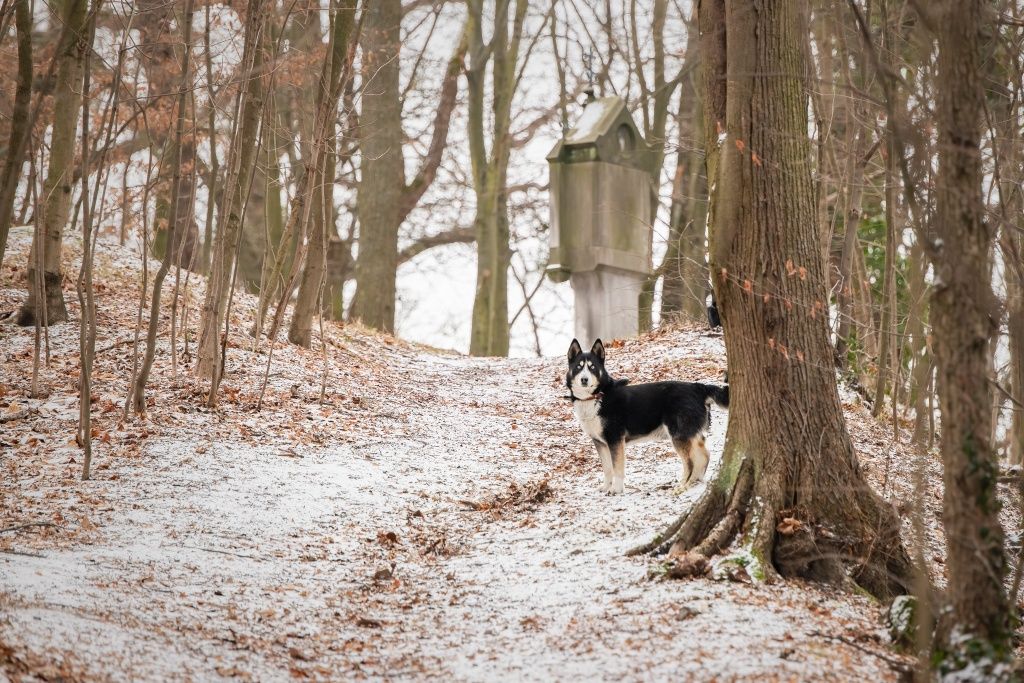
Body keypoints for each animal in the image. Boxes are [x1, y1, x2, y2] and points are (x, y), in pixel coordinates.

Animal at [569, 339, 729, 493]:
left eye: (592, 368)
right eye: (578, 367)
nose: (584, 380)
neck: (597, 396)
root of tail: (698, 387)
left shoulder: (615, 440)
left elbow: (617, 468)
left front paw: (616, 490)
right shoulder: (600, 442)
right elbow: (607, 469)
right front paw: (606, 487)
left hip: (679, 436)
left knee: (691, 462)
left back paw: (683, 487)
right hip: (690, 435)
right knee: (704, 455)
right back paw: (694, 482)